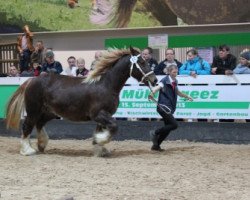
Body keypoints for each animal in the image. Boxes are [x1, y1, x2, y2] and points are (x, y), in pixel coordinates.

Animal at [5, 47, 156, 156]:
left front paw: (100, 149)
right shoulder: (98, 114)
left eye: (147, 60)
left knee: (39, 123)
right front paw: (99, 141)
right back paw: (27, 150)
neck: (106, 85)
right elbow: (114, 126)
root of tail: (32, 80)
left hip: (49, 112)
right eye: (142, 62)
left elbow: (102, 130)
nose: (154, 80)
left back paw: (42, 145)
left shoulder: (102, 116)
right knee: (27, 126)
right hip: (33, 110)